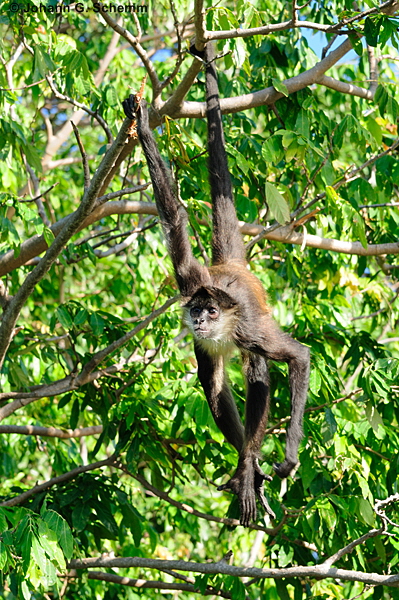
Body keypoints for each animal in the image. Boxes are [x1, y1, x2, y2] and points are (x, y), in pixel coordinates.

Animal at [123, 43, 310, 524]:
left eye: (211, 310)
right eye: (195, 310)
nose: (202, 321)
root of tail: (230, 266)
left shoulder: (245, 325)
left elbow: (298, 357)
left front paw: (286, 459)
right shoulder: (189, 280)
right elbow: (173, 216)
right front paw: (142, 124)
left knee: (258, 373)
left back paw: (250, 467)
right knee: (212, 382)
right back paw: (249, 467)